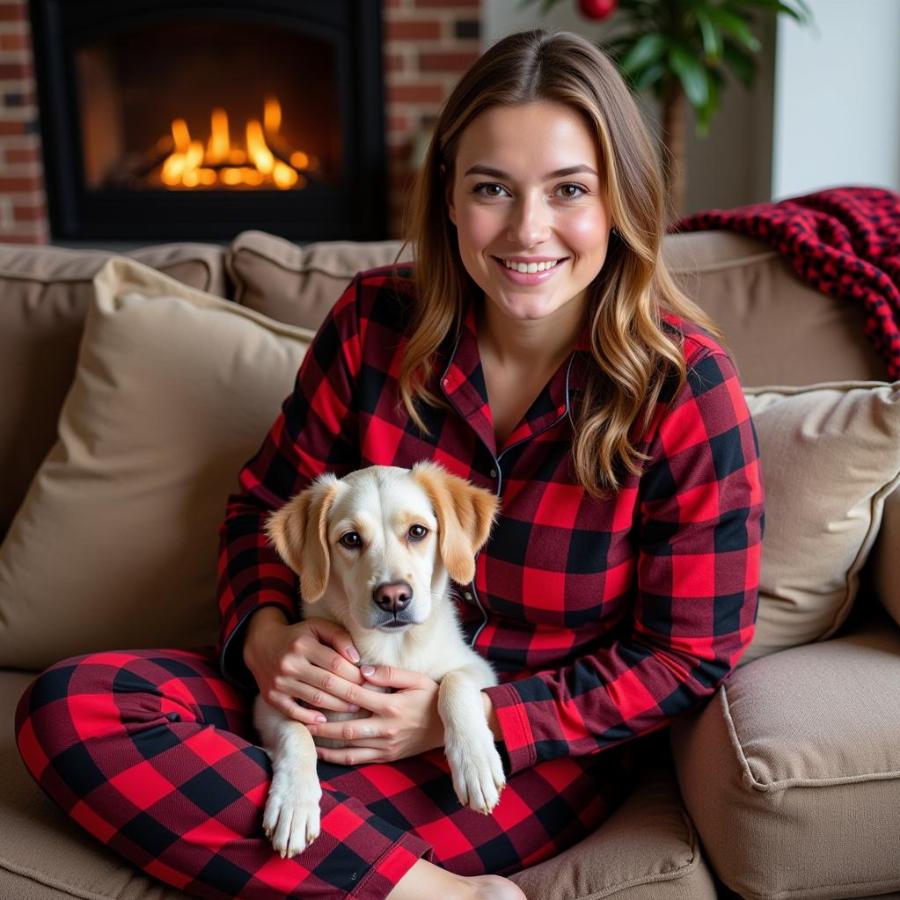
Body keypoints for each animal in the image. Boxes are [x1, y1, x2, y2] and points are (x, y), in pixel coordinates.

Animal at [253, 464, 506, 856]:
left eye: (417, 531)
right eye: (351, 539)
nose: (394, 597)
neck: (388, 648)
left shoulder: (479, 667)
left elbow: (455, 683)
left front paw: (475, 761)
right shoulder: (268, 703)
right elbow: (297, 732)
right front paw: (294, 802)